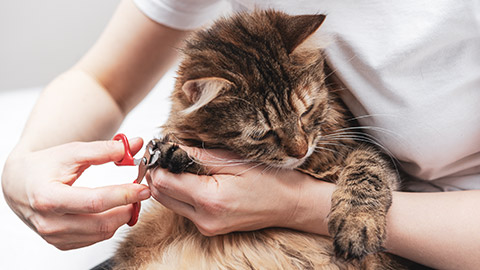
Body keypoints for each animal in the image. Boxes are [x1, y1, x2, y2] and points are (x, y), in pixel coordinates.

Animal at [111, 9, 408, 268]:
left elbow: (367, 171)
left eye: (306, 111)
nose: (301, 151)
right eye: (262, 134)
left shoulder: (366, 153)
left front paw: (356, 223)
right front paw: (175, 156)